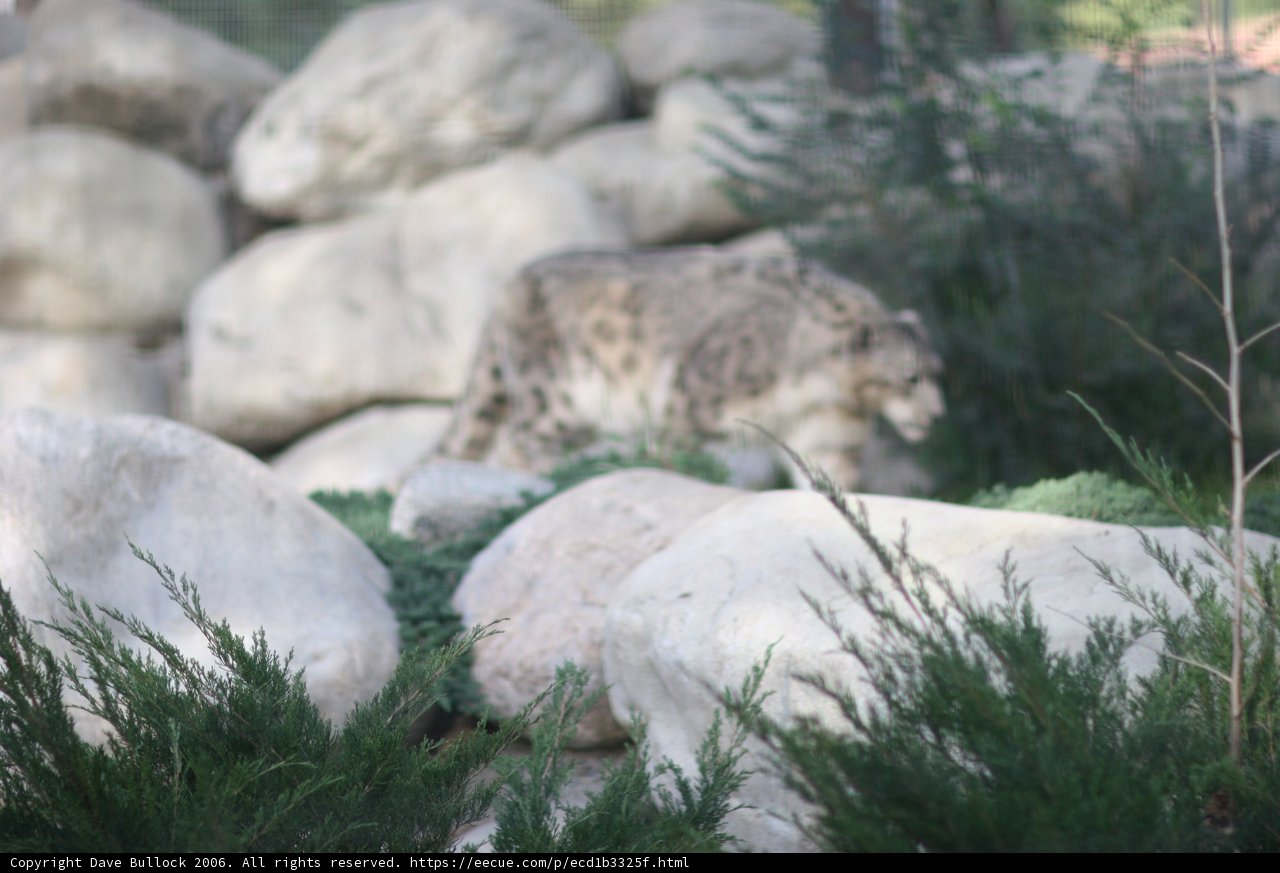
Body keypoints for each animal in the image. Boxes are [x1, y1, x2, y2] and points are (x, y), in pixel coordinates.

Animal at [436, 248, 944, 490]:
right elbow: (678, 454)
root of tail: (510, 284)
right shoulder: (693, 400)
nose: (937, 415)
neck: (819, 394)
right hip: (555, 394)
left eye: (941, 371)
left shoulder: (828, 433)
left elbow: (830, 478)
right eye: (911, 377)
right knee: (519, 441)